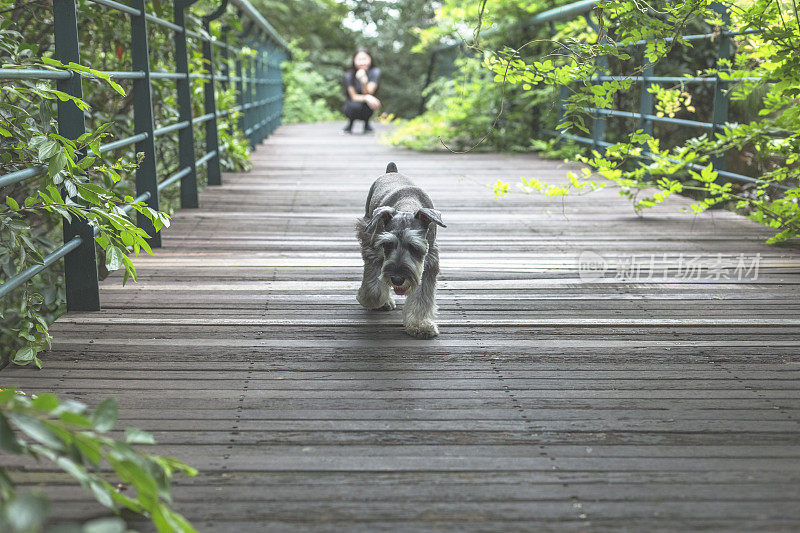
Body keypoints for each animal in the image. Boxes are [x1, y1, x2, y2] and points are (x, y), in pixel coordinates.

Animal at [354, 160, 444, 338]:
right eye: (387, 244)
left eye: (414, 246)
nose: (397, 279)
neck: (407, 206)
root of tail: (392, 171)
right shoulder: (373, 249)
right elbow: (373, 287)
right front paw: (374, 300)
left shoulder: (429, 260)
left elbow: (423, 294)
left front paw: (420, 324)